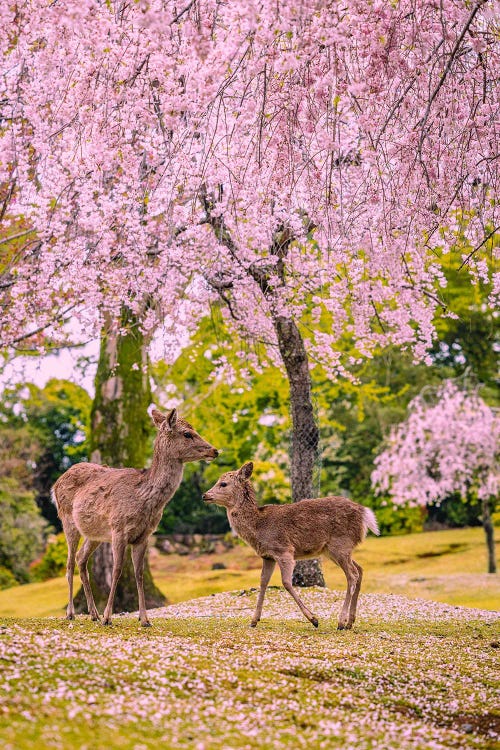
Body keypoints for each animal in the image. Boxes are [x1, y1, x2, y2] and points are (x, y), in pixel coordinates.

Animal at [51, 406, 218, 628]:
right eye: (187, 433)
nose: (215, 450)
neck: (145, 498)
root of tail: (55, 484)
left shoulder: (144, 535)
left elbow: (139, 574)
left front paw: (144, 619)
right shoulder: (119, 529)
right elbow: (117, 570)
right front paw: (108, 617)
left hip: (94, 534)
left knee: (80, 558)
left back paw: (93, 614)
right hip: (68, 520)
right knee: (69, 562)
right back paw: (71, 613)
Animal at [203, 462, 378, 632]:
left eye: (223, 483)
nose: (205, 495)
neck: (259, 527)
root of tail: (365, 515)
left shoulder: (284, 550)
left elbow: (286, 582)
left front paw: (313, 619)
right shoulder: (267, 556)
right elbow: (263, 582)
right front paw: (253, 621)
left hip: (340, 544)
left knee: (352, 575)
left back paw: (341, 622)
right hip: (336, 550)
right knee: (360, 570)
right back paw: (350, 622)